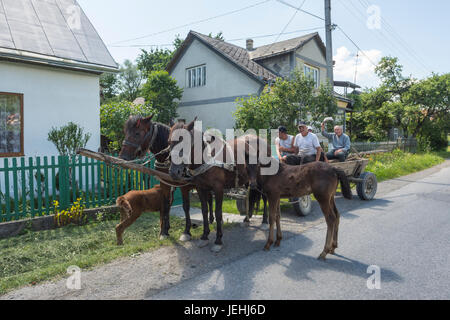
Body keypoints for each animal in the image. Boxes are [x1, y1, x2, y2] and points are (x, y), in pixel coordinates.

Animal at [166, 119, 268, 251]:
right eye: (169, 142)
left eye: (186, 142)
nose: (174, 172)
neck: (207, 157)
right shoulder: (201, 188)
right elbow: (204, 210)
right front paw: (204, 236)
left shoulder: (218, 189)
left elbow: (218, 212)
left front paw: (218, 240)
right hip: (248, 180)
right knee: (249, 196)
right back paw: (246, 219)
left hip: (261, 179)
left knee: (265, 197)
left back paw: (265, 222)